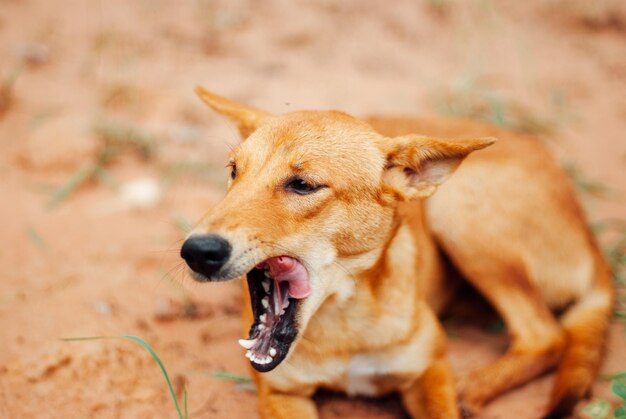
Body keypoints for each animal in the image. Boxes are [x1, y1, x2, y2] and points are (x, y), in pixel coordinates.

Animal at [179, 87, 608, 418]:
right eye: (234, 172)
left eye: (302, 185)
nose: (197, 251)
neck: (345, 322)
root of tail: (588, 233)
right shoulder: (282, 392)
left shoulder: (430, 371)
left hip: (458, 210)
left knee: (545, 335)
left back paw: (471, 386)